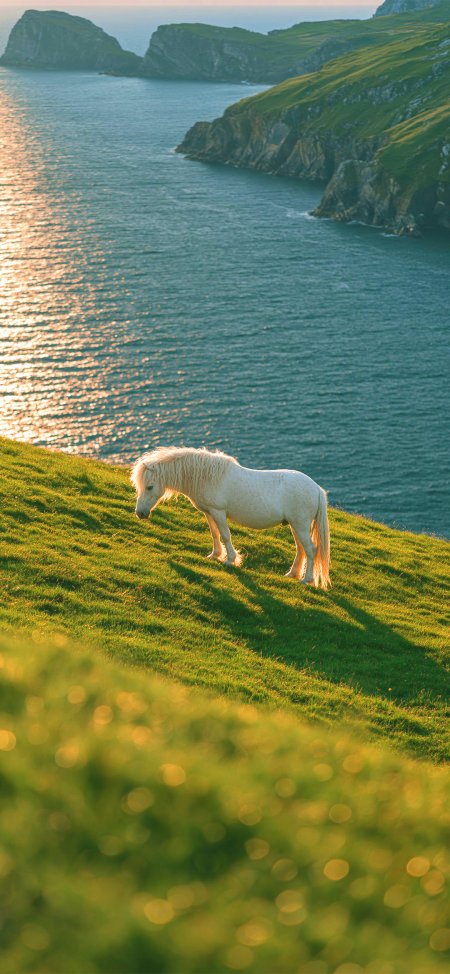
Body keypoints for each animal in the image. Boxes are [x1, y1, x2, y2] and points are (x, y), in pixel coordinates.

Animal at [131, 446, 330, 589]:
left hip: (300, 525)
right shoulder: (209, 512)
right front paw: (215, 555)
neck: (207, 477)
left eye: (149, 486)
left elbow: (225, 535)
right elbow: (215, 534)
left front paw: (230, 560)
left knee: (311, 549)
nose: (140, 513)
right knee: (301, 549)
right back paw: (292, 574)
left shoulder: (218, 512)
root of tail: (317, 488)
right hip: (295, 525)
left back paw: (307, 580)